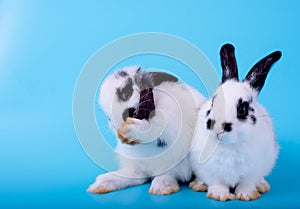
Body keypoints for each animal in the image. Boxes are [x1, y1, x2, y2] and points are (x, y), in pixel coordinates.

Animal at [87, 66, 206, 195]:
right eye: (108, 118)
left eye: (126, 93)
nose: (122, 118)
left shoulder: (171, 125)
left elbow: (155, 129)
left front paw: (133, 129)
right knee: (138, 176)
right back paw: (101, 183)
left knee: (169, 174)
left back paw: (164, 187)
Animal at [190, 43, 282, 201]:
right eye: (213, 103)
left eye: (242, 109)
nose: (218, 128)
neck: (229, 146)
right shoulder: (208, 170)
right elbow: (216, 182)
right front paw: (219, 195)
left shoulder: (252, 171)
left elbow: (247, 183)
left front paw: (246, 195)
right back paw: (198, 184)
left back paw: (262, 185)